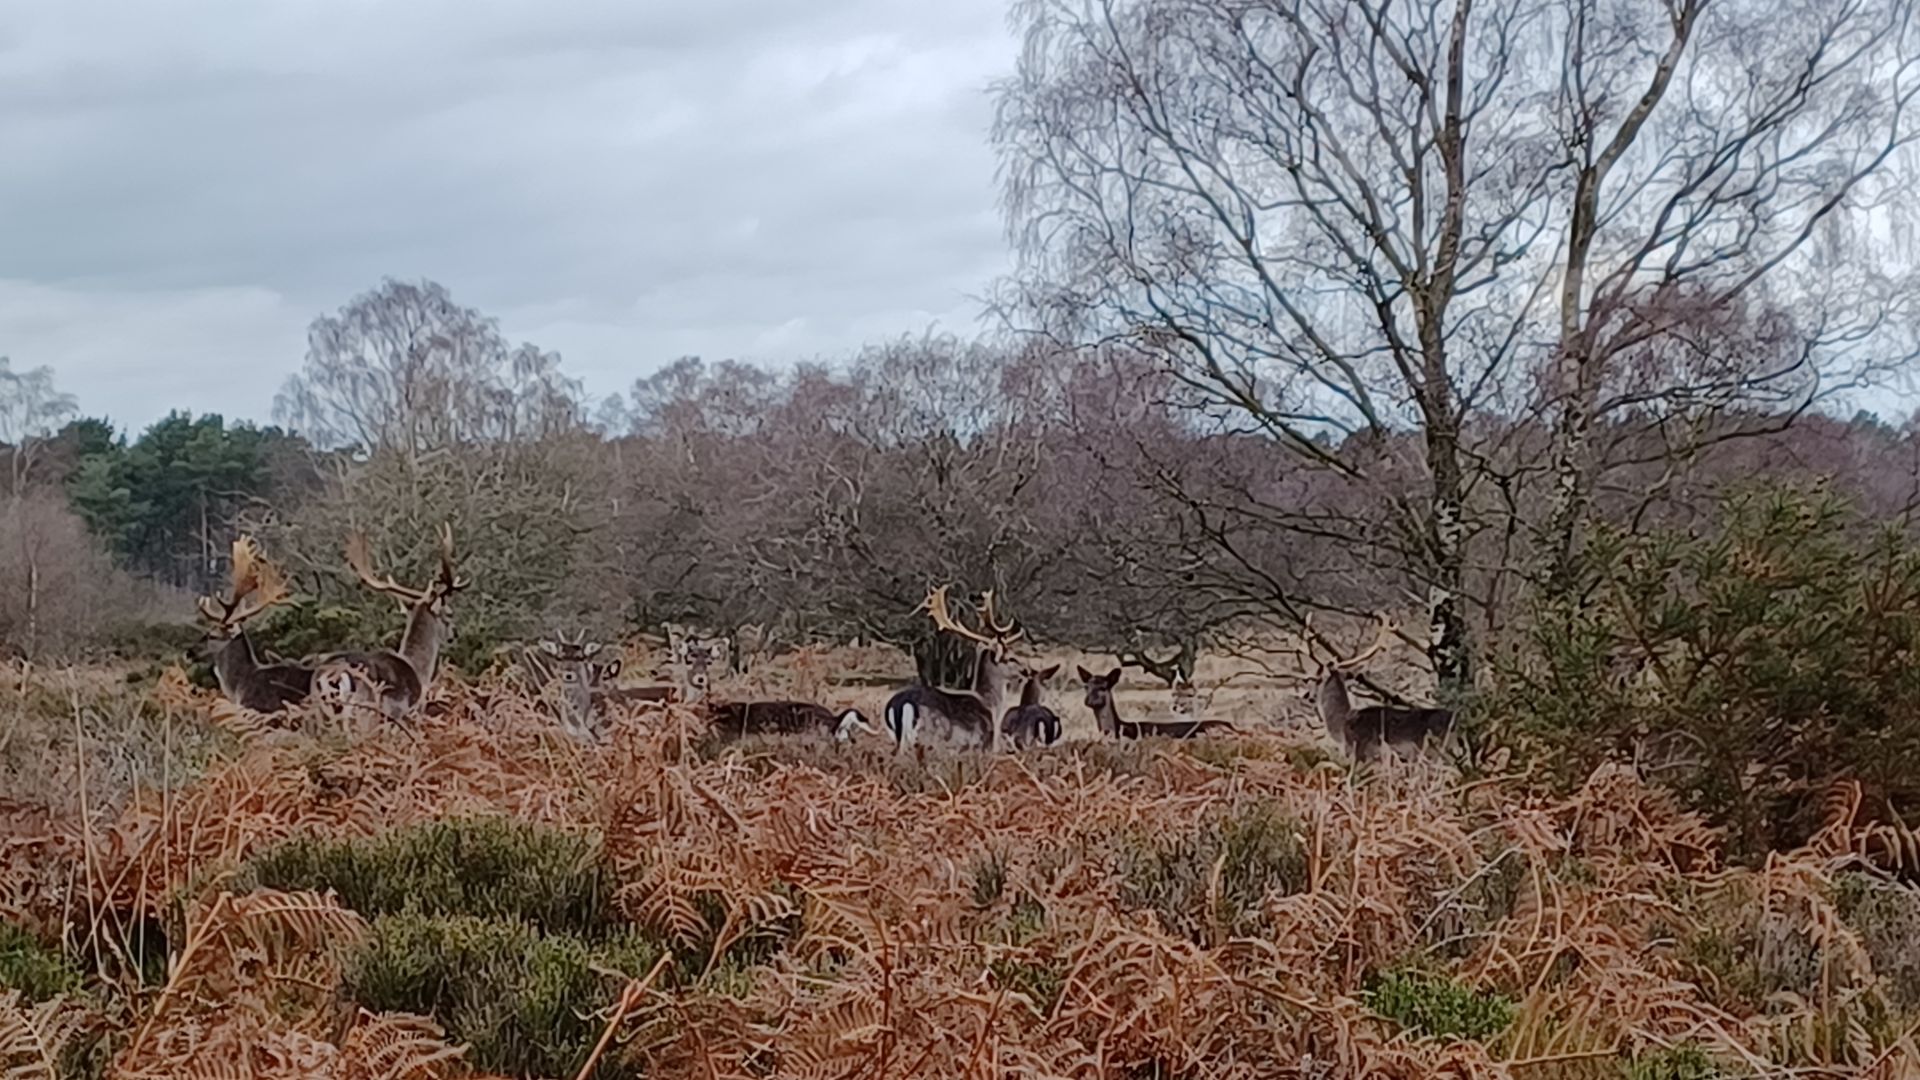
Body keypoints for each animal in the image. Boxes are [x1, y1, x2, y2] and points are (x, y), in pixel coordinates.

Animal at [311, 524, 466, 723]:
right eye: (449, 613)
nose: (455, 633)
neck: (419, 672)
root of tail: (331, 677)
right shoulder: (405, 714)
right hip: (364, 711)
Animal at [883, 587, 1028, 751]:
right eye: (1010, 658)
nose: (1026, 670)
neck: (989, 705)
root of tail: (899, 705)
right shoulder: (982, 744)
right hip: (930, 736)